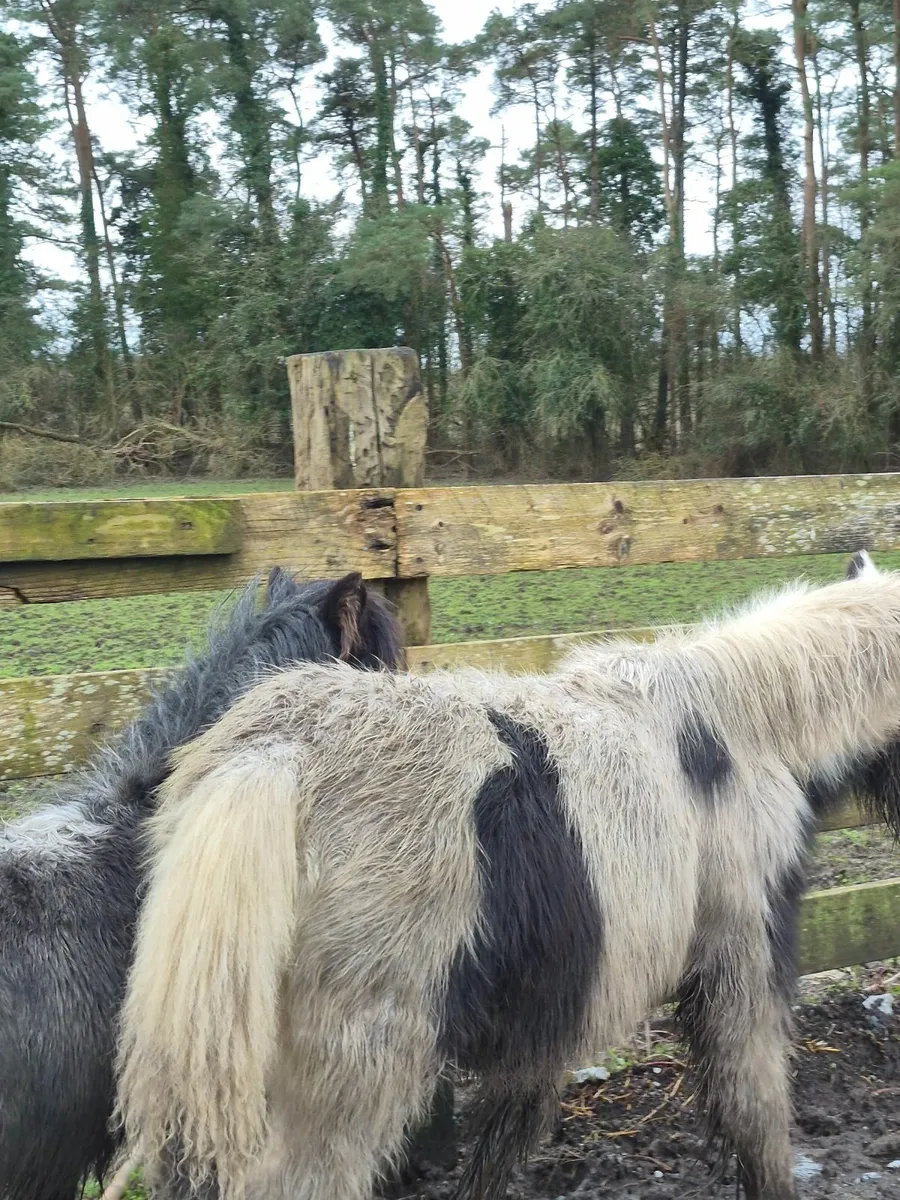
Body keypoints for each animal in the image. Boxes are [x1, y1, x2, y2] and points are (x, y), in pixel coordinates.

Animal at [116, 552, 900, 1200]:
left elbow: (505, 1139)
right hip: (349, 1072)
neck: (745, 721)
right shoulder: (741, 946)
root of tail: (272, 759)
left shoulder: (554, 1003)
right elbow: (755, 1104)